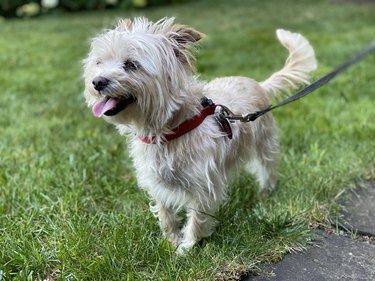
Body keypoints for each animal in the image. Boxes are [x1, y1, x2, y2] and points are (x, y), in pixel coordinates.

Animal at [82, 17, 318, 254]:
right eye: (99, 62)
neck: (170, 129)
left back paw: (265, 193)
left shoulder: (204, 185)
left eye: (131, 64)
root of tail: (259, 85)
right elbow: (166, 213)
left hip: (264, 143)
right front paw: (171, 240)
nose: (98, 82)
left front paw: (186, 249)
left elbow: (196, 219)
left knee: (267, 169)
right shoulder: (157, 182)